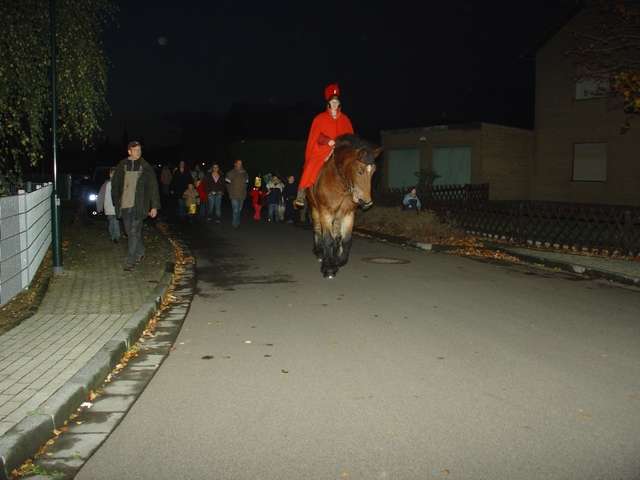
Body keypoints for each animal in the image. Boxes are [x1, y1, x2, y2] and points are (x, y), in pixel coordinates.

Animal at [304, 134, 380, 278]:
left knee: (337, 236)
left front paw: (338, 261)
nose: (367, 202)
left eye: (373, 171)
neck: (340, 184)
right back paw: (319, 252)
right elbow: (328, 239)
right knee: (317, 229)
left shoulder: (349, 213)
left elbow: (346, 239)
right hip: (315, 208)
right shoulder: (326, 212)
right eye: (360, 171)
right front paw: (328, 268)